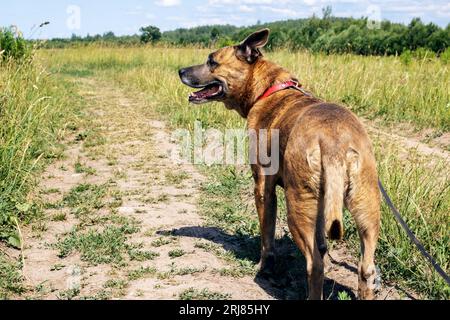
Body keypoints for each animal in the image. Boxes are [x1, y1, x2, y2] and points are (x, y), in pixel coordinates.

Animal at [178, 28, 380, 298]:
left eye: (212, 61)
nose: (180, 71)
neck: (267, 89)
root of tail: (333, 143)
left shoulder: (263, 188)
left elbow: (267, 236)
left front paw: (264, 266)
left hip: (297, 207)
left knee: (315, 265)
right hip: (367, 207)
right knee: (365, 268)